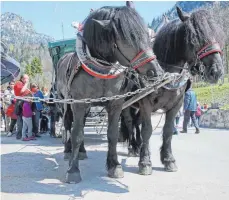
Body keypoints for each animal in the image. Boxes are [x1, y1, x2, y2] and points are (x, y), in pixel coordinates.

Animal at [56, 5, 163, 183]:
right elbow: (76, 134)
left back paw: (82, 151)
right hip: (66, 103)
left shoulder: (115, 103)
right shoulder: (79, 103)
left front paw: (115, 166)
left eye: (146, 36)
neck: (101, 70)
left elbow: (112, 134)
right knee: (68, 124)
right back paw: (67, 150)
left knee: (82, 125)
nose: (156, 72)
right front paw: (73, 170)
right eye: (129, 38)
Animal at [120, 7, 225, 173]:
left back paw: (137, 146)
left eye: (216, 34)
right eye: (194, 38)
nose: (217, 71)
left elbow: (168, 130)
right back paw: (133, 147)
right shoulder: (145, 104)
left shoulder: (176, 105)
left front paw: (168, 159)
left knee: (136, 123)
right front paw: (145, 162)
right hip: (126, 105)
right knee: (130, 123)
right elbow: (147, 130)